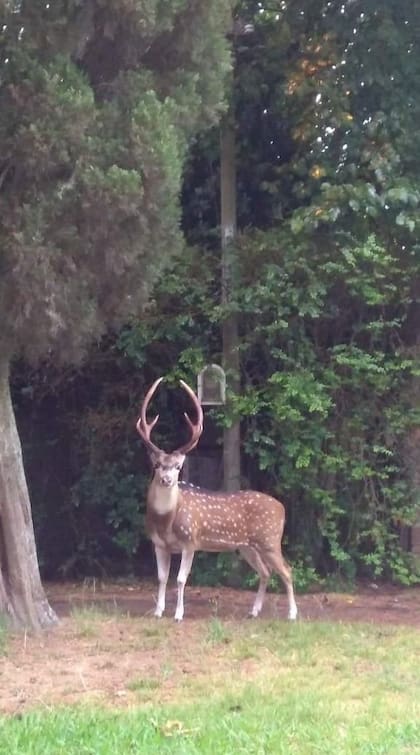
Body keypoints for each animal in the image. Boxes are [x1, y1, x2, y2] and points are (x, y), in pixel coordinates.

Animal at [136, 377, 298, 622]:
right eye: (157, 465)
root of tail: (282, 508)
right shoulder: (158, 544)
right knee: (265, 571)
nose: (166, 480)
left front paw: (178, 615)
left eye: (178, 466)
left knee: (287, 571)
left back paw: (292, 614)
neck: (166, 521)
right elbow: (162, 578)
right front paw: (158, 611)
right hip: (247, 546)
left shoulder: (190, 539)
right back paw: (254, 611)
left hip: (270, 539)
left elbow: (181, 579)